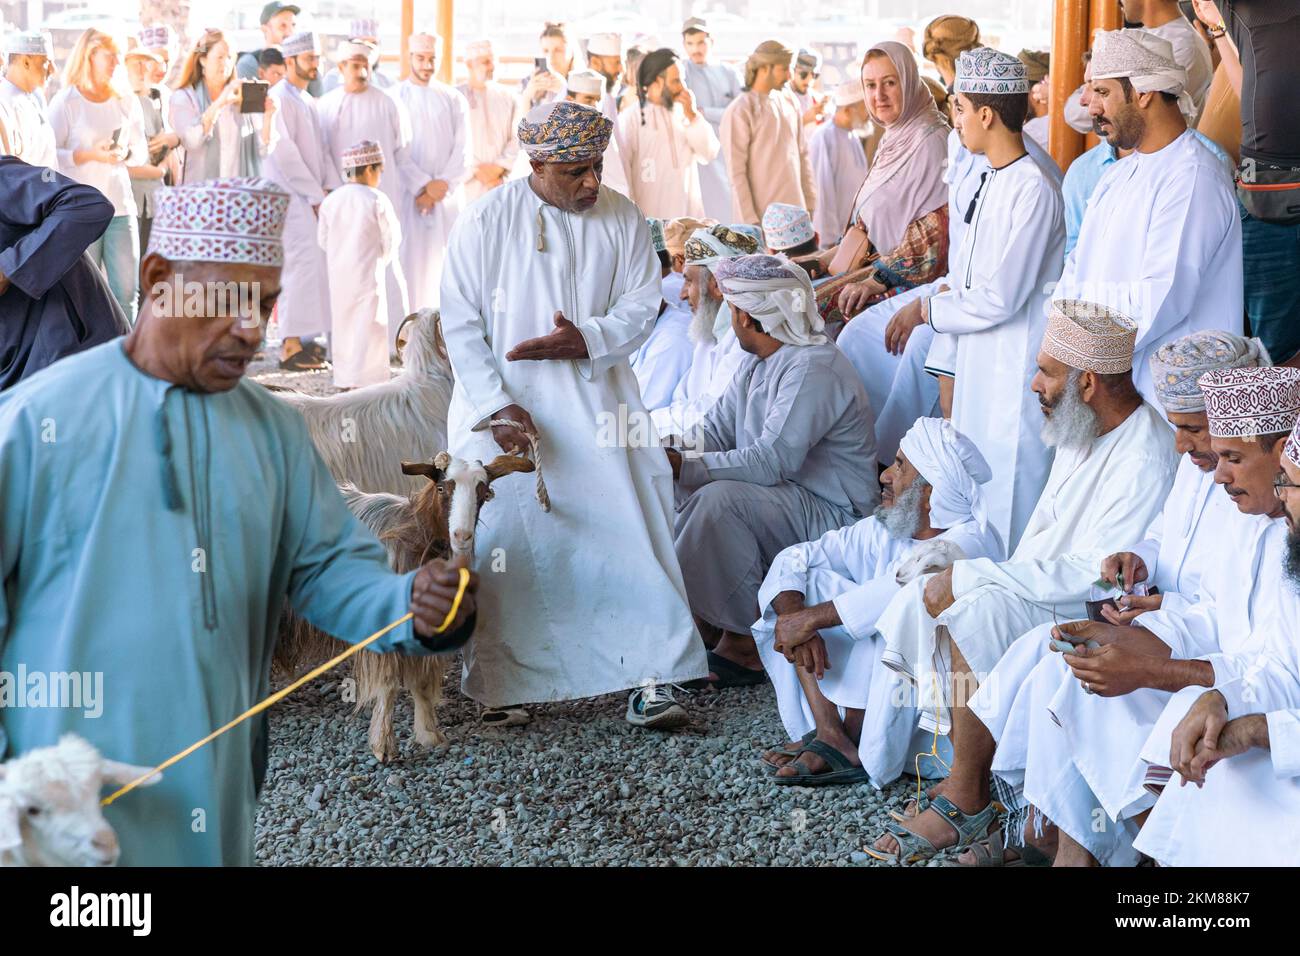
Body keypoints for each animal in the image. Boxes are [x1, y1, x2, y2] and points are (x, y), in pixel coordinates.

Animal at [276, 452, 535, 759]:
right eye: (441, 488)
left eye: (483, 494)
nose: (462, 536)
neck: (413, 535)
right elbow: (388, 682)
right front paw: (383, 744)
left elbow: (420, 681)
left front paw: (429, 735)